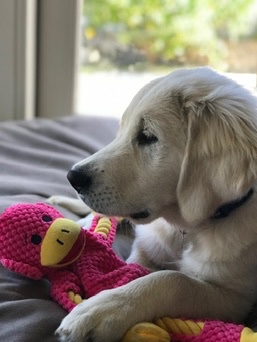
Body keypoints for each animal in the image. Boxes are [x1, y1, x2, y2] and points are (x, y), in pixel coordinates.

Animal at [55, 67, 256, 342]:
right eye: (121, 129)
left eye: (148, 137)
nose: (72, 177)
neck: (186, 230)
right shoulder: (145, 247)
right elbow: (133, 268)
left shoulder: (234, 297)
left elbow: (173, 279)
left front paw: (102, 309)